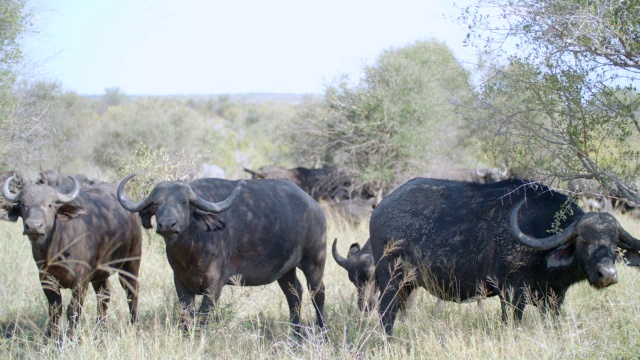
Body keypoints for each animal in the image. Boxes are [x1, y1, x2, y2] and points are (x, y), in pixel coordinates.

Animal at [2, 176, 142, 336]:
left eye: (50, 204)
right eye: (23, 204)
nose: (33, 226)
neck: (56, 249)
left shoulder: (80, 281)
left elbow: (72, 311)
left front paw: (71, 336)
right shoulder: (46, 280)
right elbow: (55, 310)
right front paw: (52, 337)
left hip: (131, 261)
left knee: (131, 292)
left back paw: (135, 326)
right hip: (100, 273)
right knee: (104, 295)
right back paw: (100, 330)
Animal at [116, 174, 324, 334]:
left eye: (183, 202)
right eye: (157, 203)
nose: (167, 224)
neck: (191, 251)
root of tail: (313, 205)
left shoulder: (214, 285)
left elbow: (202, 318)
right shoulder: (181, 284)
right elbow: (186, 316)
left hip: (314, 261)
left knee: (317, 292)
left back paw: (322, 329)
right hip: (286, 270)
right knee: (294, 294)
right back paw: (296, 333)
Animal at [368, 177, 640, 334]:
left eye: (614, 242)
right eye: (584, 239)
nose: (608, 274)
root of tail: (380, 208)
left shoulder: (553, 299)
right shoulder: (511, 294)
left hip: (408, 286)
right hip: (390, 283)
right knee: (385, 316)